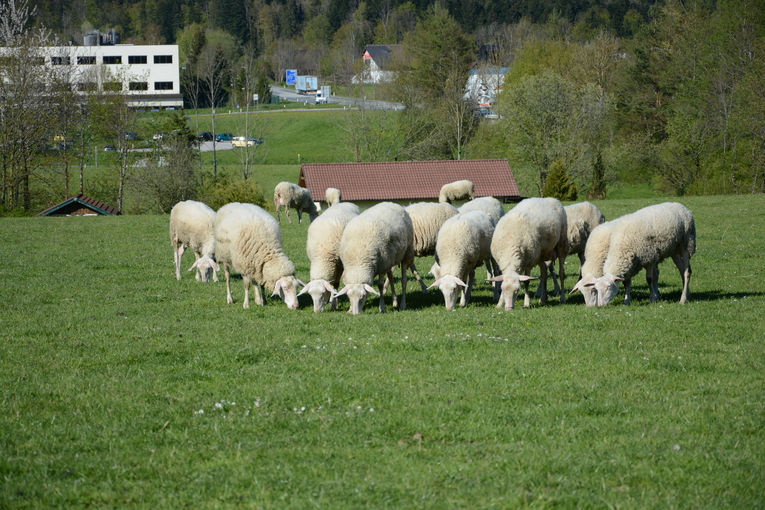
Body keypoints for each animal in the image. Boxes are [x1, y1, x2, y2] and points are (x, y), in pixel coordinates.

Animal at [568, 202, 700, 306]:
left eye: (593, 290)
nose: (597, 306)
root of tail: (683, 207)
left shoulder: (649, 257)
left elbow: (649, 279)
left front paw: (652, 298)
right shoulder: (629, 261)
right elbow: (627, 282)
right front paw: (627, 301)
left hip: (686, 244)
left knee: (687, 272)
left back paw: (683, 299)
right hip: (674, 251)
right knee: (681, 271)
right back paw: (686, 294)